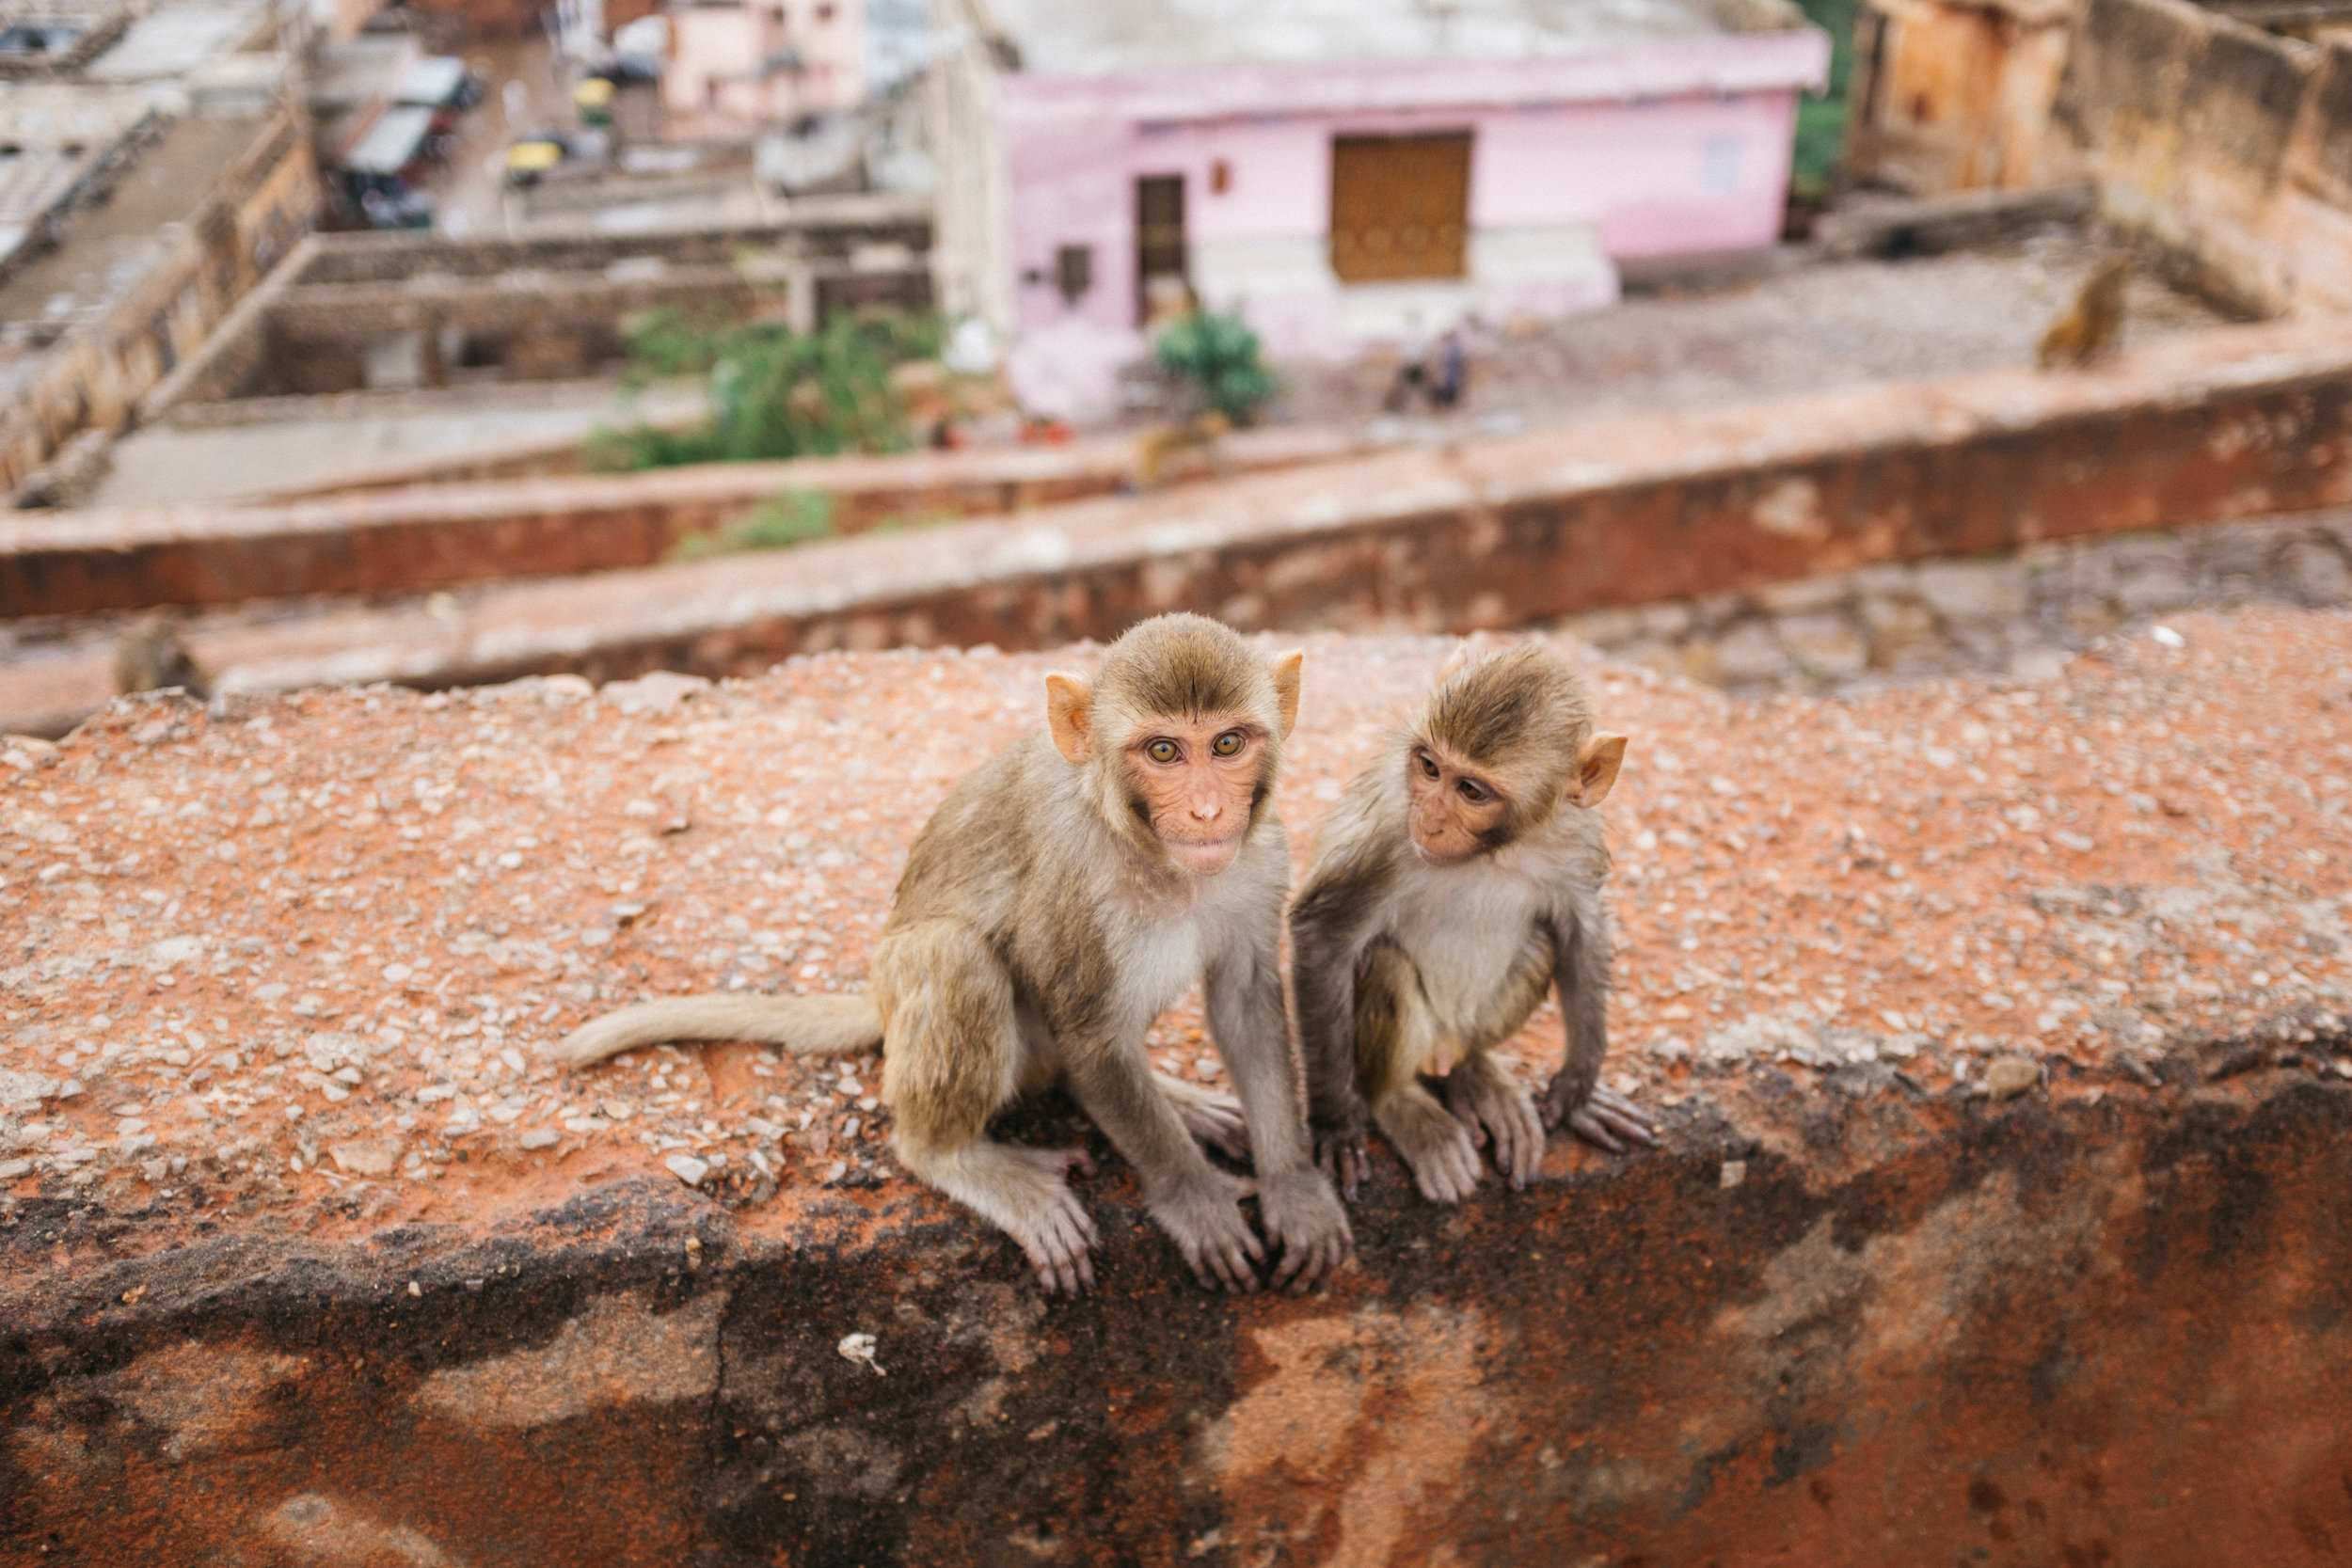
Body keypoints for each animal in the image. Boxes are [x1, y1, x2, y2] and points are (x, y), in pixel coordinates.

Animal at [553, 613, 1352, 1295]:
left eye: (1227, 744)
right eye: (1163, 750)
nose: (1209, 812)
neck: (1158, 858)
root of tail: (878, 999)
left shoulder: (1262, 857)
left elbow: (1246, 1001)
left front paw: (1296, 1190)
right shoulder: (1078, 883)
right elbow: (1094, 1040)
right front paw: (1196, 1200)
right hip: (929, 996)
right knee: (957, 957)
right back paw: (954, 1155)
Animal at [1290, 642, 1655, 1205]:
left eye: (1472, 791)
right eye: (1429, 767)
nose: (1430, 819)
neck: (1493, 852)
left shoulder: (1574, 839)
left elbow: (1581, 931)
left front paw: (1578, 1090)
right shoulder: (1385, 836)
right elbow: (1323, 937)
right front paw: (1335, 1124)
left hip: (1469, 1025)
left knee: (1541, 943)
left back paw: (1476, 1077)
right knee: (1385, 966)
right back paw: (1402, 1105)